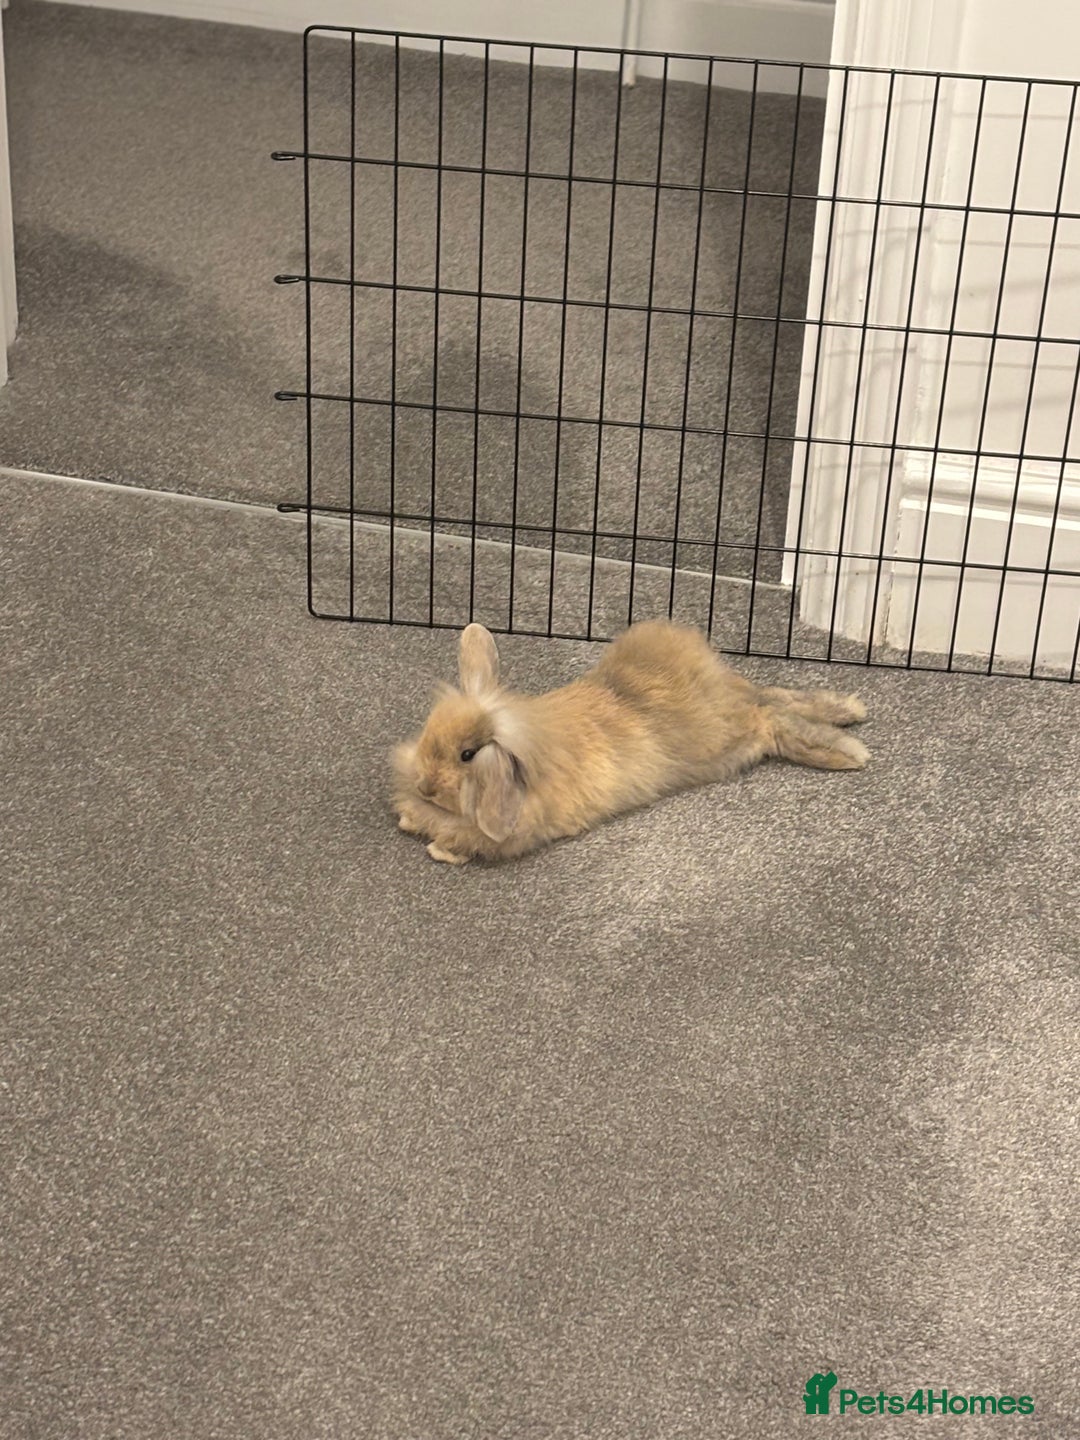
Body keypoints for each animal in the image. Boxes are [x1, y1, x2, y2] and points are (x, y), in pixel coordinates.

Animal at [392, 620, 869, 864]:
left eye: (467, 754)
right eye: (428, 733)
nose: (424, 787)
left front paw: (438, 847)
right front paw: (410, 820)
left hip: (726, 741)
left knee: (770, 718)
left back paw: (846, 752)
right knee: (773, 696)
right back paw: (850, 709)